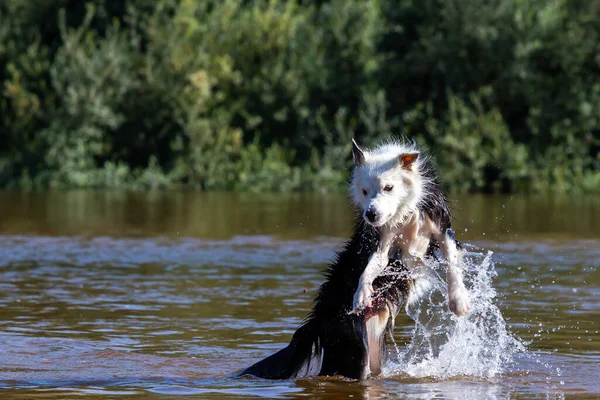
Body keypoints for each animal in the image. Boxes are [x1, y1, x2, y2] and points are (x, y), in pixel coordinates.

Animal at [239, 139, 468, 380]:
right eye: (364, 191)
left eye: (388, 187)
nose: (371, 215)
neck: (403, 212)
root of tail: (317, 320)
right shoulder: (380, 241)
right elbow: (370, 267)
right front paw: (361, 294)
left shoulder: (441, 227)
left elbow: (452, 262)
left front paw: (459, 300)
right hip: (355, 348)